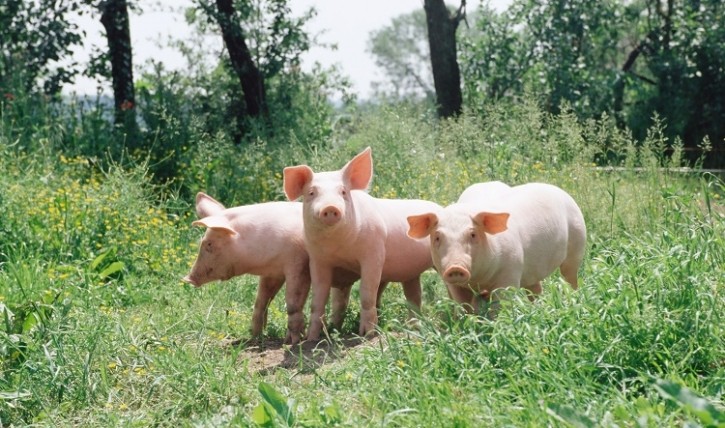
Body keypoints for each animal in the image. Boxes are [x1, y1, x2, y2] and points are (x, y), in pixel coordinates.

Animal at [182, 193, 358, 344]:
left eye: (209, 244)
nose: (187, 278)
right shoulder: (273, 273)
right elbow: (261, 301)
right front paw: (255, 337)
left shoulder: (297, 264)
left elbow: (293, 302)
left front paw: (292, 341)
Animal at [282, 147, 442, 342]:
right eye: (311, 193)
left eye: (343, 192)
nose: (330, 207)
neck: (339, 247)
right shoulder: (317, 261)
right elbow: (318, 300)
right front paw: (311, 339)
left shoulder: (374, 254)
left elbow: (367, 294)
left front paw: (367, 335)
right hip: (410, 274)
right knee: (414, 296)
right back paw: (413, 327)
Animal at [404, 181, 584, 310]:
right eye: (437, 237)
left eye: (473, 234)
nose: (455, 267)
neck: (479, 280)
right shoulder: (453, 285)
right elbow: (465, 308)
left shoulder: (510, 272)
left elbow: (500, 306)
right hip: (531, 270)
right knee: (535, 288)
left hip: (577, 243)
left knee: (570, 276)